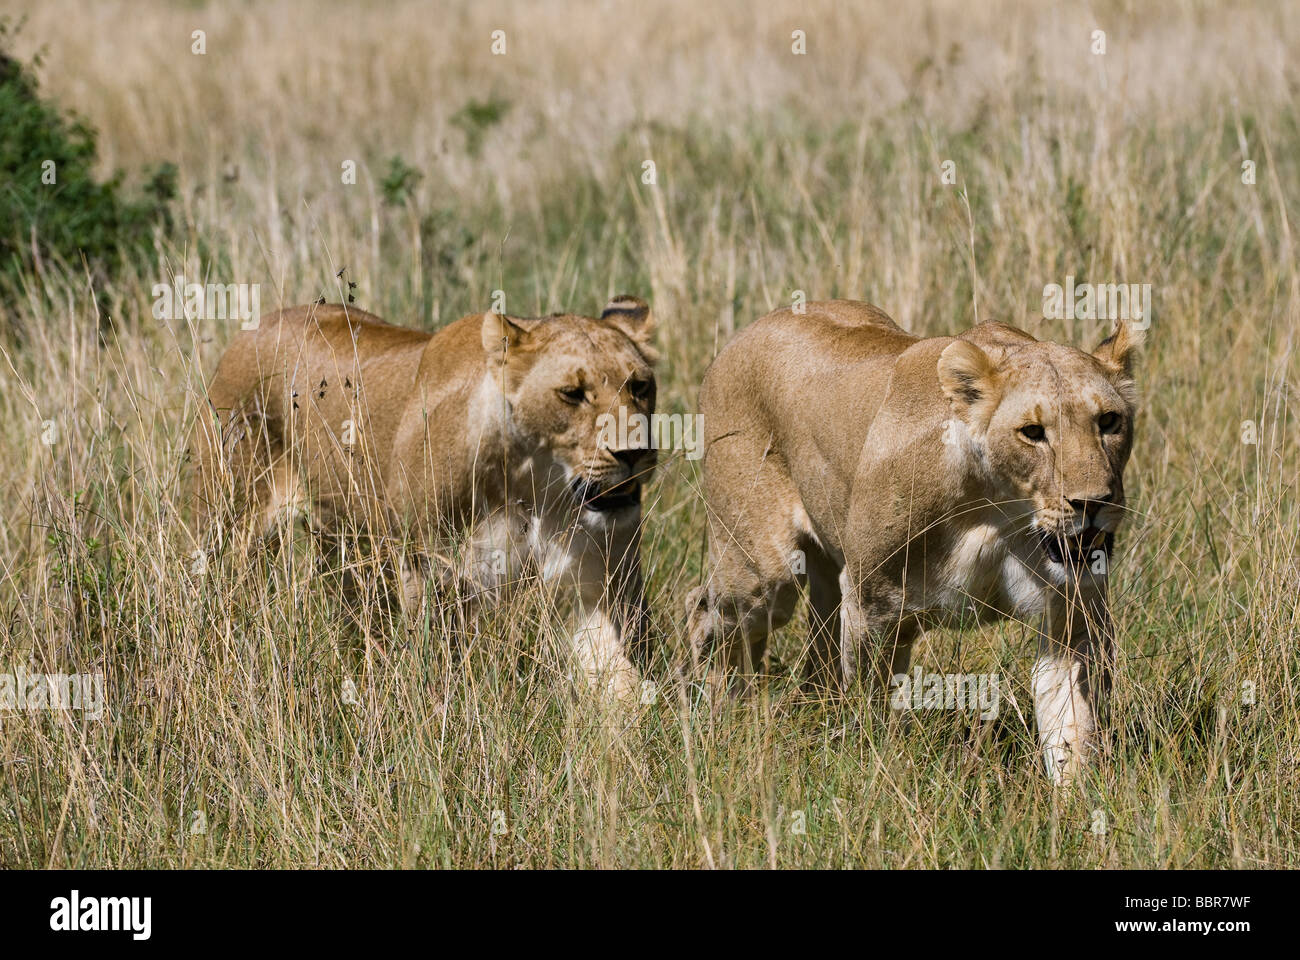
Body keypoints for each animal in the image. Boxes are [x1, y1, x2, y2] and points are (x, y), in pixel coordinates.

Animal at [191, 297, 659, 701]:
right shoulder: (429, 571)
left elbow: (619, 684)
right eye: (572, 393)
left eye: (640, 386)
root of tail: (255, 327)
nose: (634, 453)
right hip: (231, 518)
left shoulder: (595, 584)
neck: (536, 488)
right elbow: (436, 665)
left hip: (343, 542)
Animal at [686, 299, 1141, 783]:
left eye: (1108, 421)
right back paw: (718, 714)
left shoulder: (1071, 617)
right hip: (763, 572)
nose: (1091, 503)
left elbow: (1072, 727)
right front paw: (872, 773)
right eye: (1032, 432)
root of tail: (747, 331)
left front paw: (1077, 798)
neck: (999, 510)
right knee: (705, 610)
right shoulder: (873, 606)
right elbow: (873, 706)